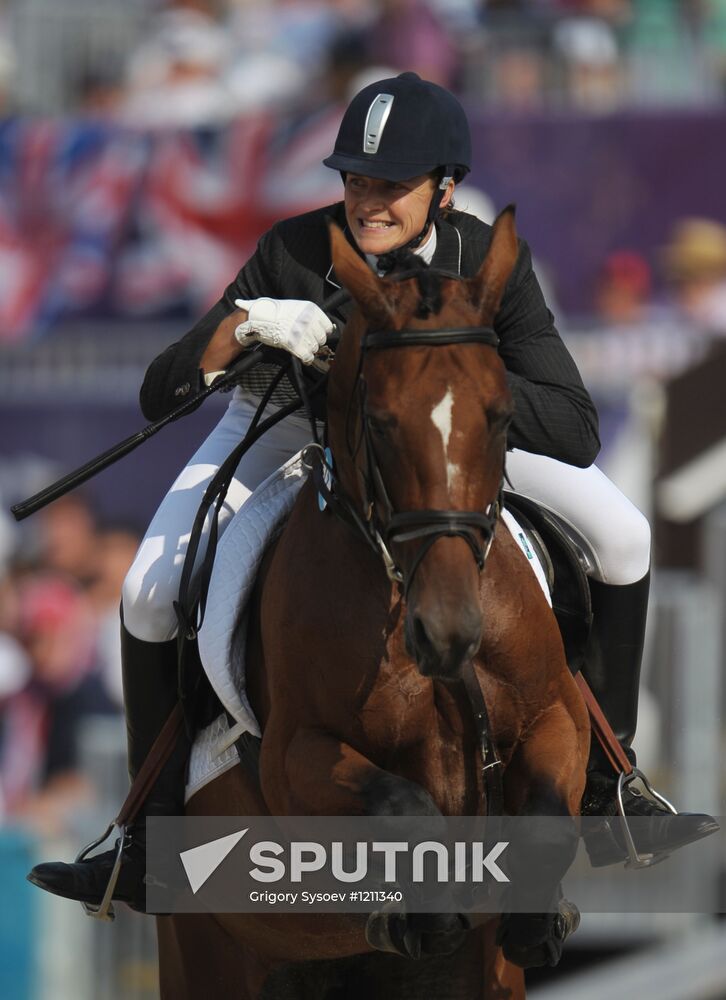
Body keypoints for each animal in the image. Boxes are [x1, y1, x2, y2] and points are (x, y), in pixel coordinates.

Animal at [158, 207, 592, 996]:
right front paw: (421, 912)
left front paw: (531, 921)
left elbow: (544, 819)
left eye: (502, 415)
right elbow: (402, 805)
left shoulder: (558, 716)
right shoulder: (294, 759)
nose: (448, 633)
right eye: (382, 422)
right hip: (207, 953)